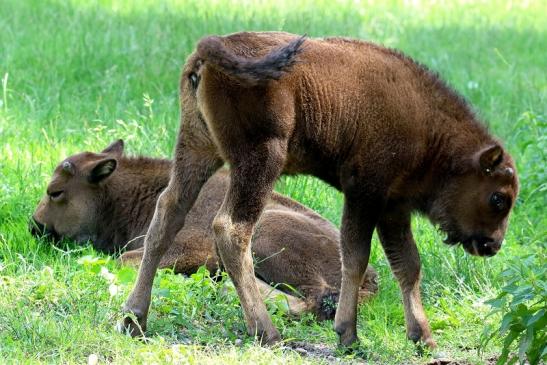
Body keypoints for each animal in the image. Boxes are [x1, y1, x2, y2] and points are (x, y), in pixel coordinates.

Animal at [32, 141, 378, 320]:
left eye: (56, 192)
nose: (35, 226)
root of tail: (373, 279)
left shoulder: (191, 248)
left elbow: (124, 261)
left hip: (266, 233)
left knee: (311, 298)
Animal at [122, 32, 520, 346]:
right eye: (498, 197)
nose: (493, 245)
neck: (430, 129)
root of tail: (215, 46)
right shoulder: (365, 195)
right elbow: (356, 257)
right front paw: (348, 335)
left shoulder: (394, 207)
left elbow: (407, 265)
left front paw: (422, 337)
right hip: (260, 161)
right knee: (231, 229)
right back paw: (267, 332)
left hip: (198, 148)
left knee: (167, 213)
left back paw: (134, 319)